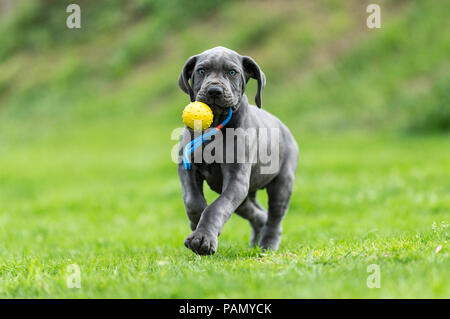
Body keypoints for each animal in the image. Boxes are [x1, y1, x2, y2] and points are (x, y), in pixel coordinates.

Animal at [178, 47, 298, 255]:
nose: (214, 90)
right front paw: (197, 224)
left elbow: (216, 207)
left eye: (232, 72)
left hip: (282, 183)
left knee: (274, 218)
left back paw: (267, 245)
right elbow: (193, 201)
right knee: (258, 214)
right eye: (201, 70)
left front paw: (203, 239)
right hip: (246, 193)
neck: (216, 124)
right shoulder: (187, 168)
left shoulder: (236, 178)